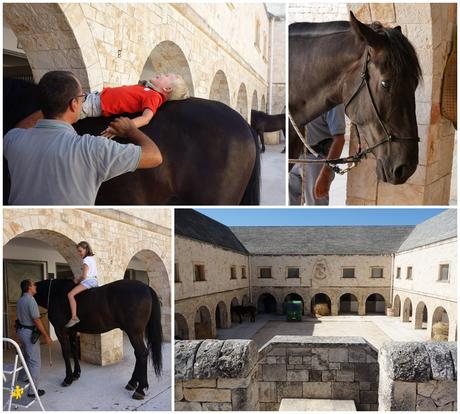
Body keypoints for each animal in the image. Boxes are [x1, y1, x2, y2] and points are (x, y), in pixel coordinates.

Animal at [33, 280, 162, 400]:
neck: (55, 292)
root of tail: (146, 287)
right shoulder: (72, 331)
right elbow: (73, 350)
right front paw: (76, 374)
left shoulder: (60, 330)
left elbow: (66, 353)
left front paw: (68, 378)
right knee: (138, 355)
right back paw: (132, 383)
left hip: (134, 333)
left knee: (142, 354)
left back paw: (140, 390)